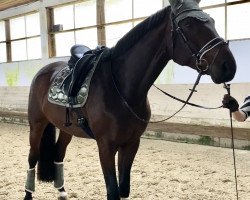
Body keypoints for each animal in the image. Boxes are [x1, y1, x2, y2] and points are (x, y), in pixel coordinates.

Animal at [23, 0, 236, 199]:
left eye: (212, 21)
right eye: (188, 24)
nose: (229, 66)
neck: (121, 88)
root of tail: (44, 71)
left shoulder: (131, 144)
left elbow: (124, 189)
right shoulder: (106, 147)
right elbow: (113, 191)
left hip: (66, 129)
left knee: (59, 154)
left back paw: (62, 192)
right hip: (37, 124)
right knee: (32, 158)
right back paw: (28, 193)